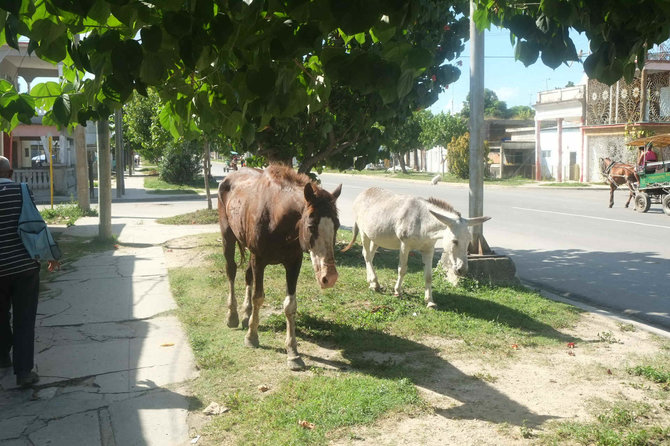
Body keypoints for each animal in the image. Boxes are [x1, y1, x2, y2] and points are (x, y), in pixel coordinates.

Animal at [220, 166, 344, 372]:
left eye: (337, 225)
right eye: (311, 226)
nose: (330, 277)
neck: (276, 217)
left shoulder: (293, 263)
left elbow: (290, 305)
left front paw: (293, 353)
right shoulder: (259, 260)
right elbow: (258, 297)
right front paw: (252, 337)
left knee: (247, 276)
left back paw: (246, 315)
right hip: (227, 235)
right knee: (231, 271)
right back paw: (232, 316)